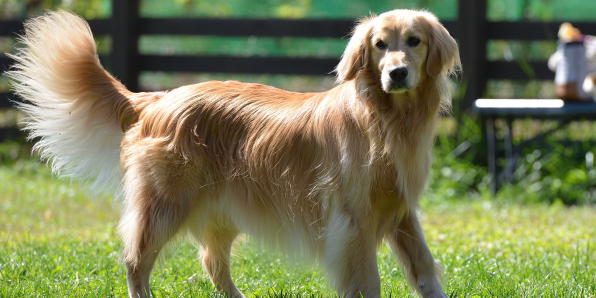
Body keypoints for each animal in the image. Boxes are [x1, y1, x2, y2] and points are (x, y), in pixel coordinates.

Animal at [5, 8, 460, 298]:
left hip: (220, 210)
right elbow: (368, 282)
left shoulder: (400, 210)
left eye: (414, 41)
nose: (396, 73)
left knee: (212, 262)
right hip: (165, 204)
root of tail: (155, 99)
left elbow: (424, 268)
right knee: (136, 261)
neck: (386, 119)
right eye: (380, 45)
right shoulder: (352, 221)